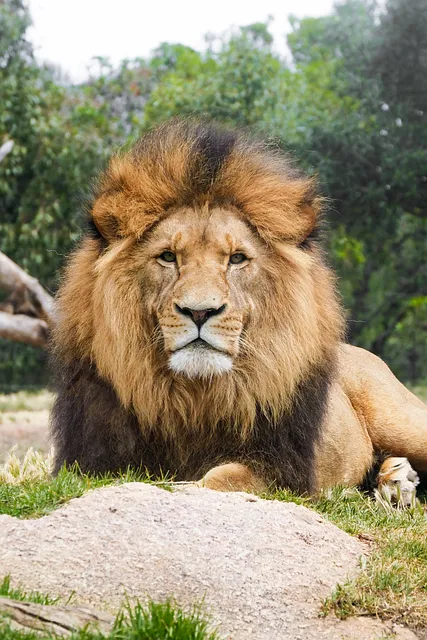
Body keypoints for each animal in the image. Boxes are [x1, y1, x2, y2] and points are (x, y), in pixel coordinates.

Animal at [50, 118, 427, 501]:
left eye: (236, 259)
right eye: (168, 256)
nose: (199, 312)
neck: (195, 397)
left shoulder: (280, 471)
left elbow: (218, 478)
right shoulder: (92, 460)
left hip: (401, 420)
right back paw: (396, 480)